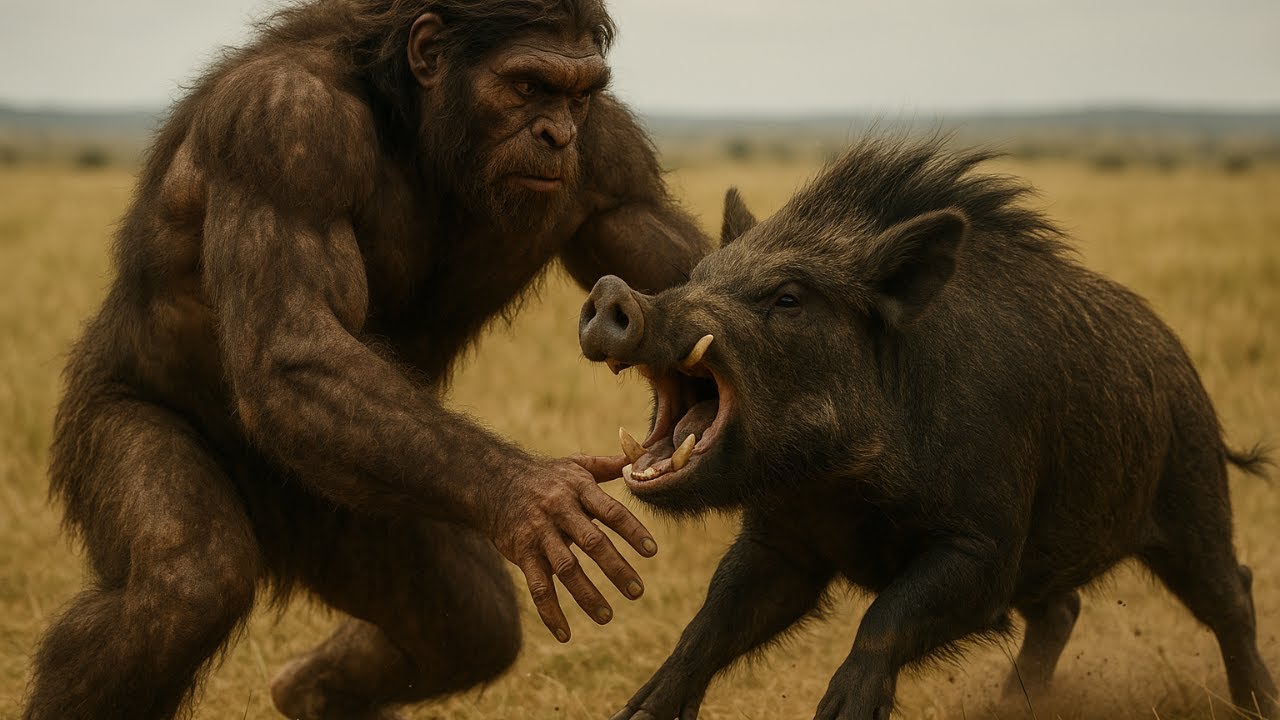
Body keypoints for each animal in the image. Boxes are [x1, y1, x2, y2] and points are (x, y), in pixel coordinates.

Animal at [578, 137, 1276, 720]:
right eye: (698, 276)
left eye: (788, 297)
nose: (616, 292)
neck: (840, 487)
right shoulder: (780, 542)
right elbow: (710, 623)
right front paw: (635, 713)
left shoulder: (982, 546)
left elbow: (887, 614)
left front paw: (842, 714)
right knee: (1063, 607)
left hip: (1192, 495)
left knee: (1231, 591)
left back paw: (1255, 705)